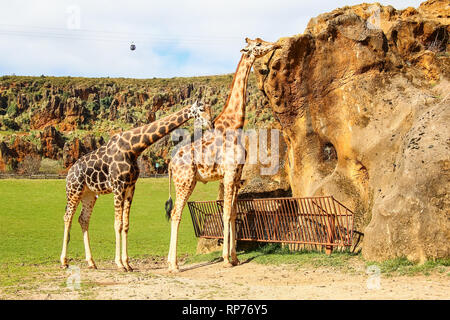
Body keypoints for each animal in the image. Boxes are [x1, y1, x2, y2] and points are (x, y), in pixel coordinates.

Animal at [60, 101, 213, 272]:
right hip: (74, 191)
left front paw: (127, 264)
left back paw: (91, 262)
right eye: (201, 109)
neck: (133, 148)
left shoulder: (130, 187)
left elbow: (126, 224)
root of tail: (69, 173)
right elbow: (118, 224)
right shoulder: (118, 186)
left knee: (83, 219)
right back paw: (64, 261)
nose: (210, 123)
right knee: (67, 217)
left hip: (89, 194)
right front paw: (120, 264)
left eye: (210, 108)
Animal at [163, 38, 280, 272]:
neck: (235, 125)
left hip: (189, 181)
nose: (276, 45)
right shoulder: (229, 173)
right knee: (176, 213)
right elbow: (225, 212)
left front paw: (235, 258)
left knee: (175, 214)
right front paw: (226, 259)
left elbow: (233, 213)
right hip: (185, 181)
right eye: (258, 44)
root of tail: (170, 164)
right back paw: (174, 265)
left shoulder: (236, 175)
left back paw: (172, 263)